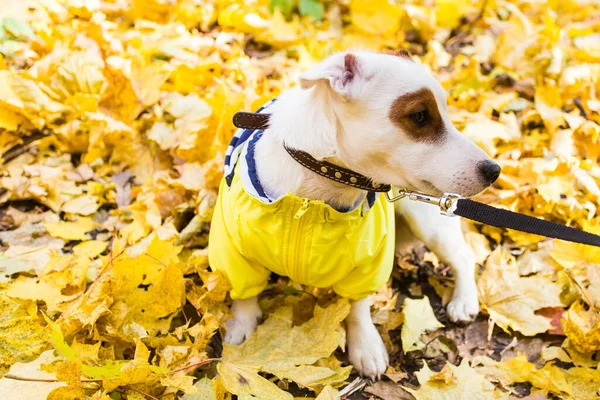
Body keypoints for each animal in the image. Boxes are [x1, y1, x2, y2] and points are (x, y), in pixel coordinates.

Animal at [209, 51, 500, 380]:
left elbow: (358, 306)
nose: (493, 171)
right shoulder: (232, 248)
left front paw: (365, 345)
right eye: (419, 116)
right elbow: (244, 294)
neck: (316, 194)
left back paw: (464, 299)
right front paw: (243, 325)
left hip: (428, 221)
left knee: (463, 256)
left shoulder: (369, 260)